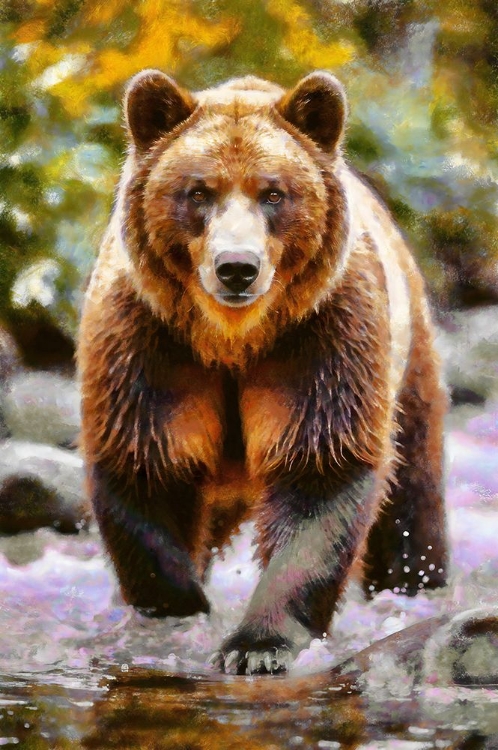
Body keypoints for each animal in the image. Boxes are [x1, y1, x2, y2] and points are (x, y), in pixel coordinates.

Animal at [77, 69, 448, 676]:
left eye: (273, 192)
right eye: (198, 191)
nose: (237, 268)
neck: (234, 340)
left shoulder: (321, 340)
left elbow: (322, 474)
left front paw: (259, 645)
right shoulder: (149, 345)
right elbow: (146, 468)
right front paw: (177, 616)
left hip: (408, 362)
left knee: (412, 502)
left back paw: (416, 588)